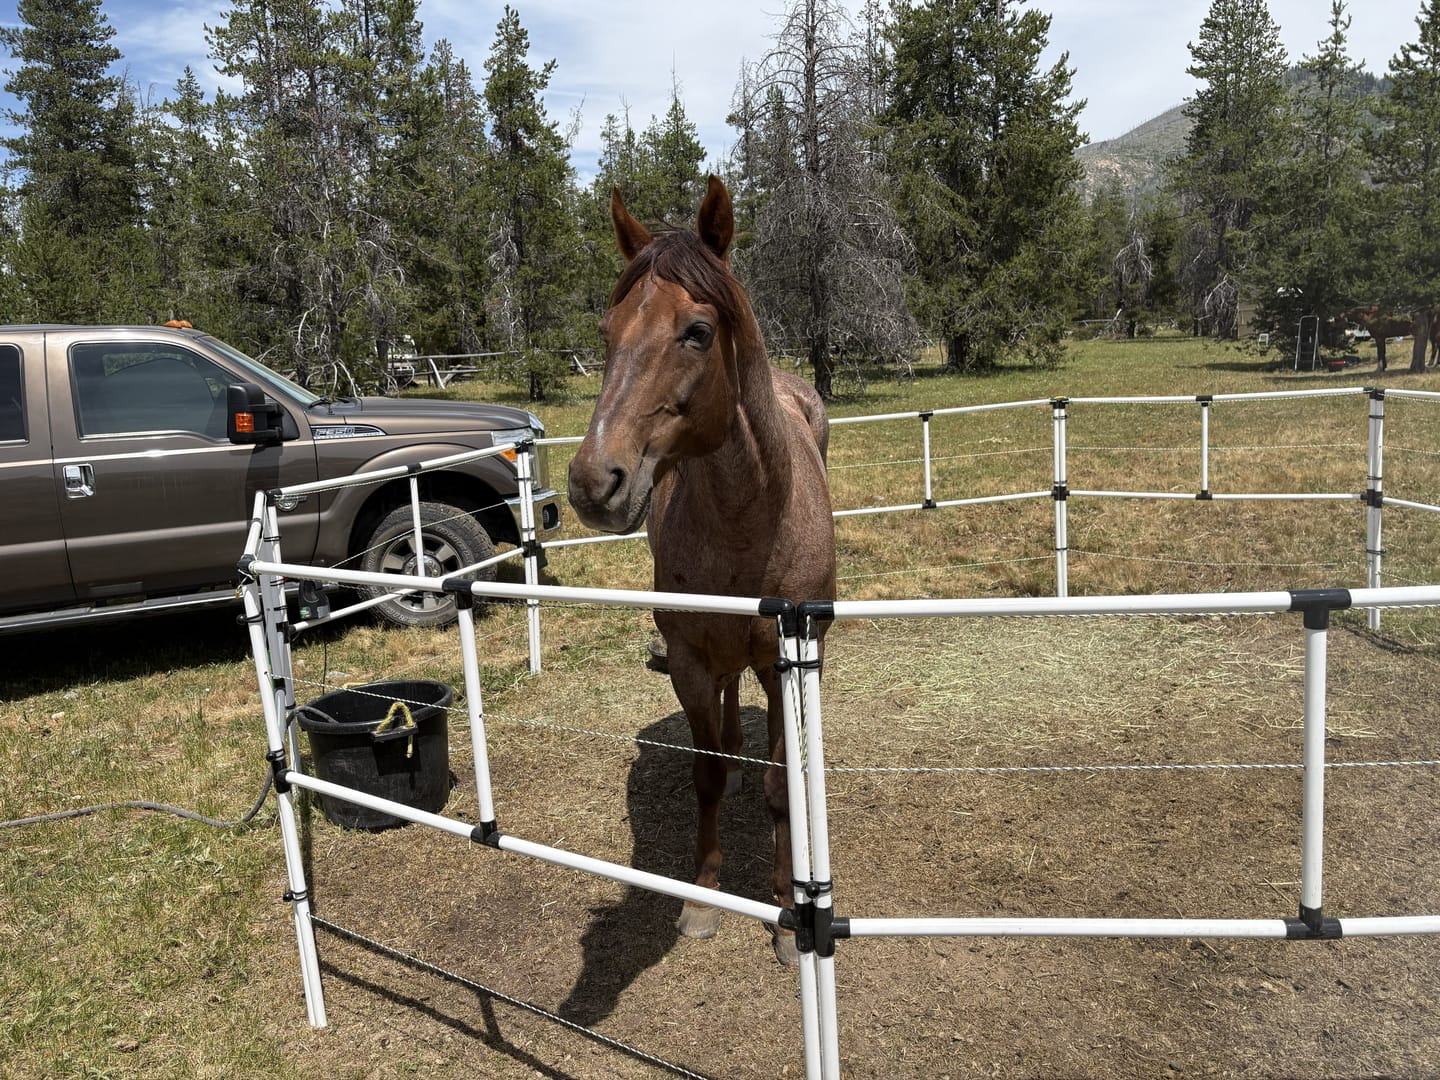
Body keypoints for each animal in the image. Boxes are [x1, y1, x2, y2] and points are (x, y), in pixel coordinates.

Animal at [567, 176, 836, 964]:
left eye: (696, 331)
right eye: (608, 331)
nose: (593, 482)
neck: (749, 520)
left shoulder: (781, 660)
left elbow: (781, 789)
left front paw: (785, 913)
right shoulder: (689, 656)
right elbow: (708, 771)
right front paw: (702, 899)